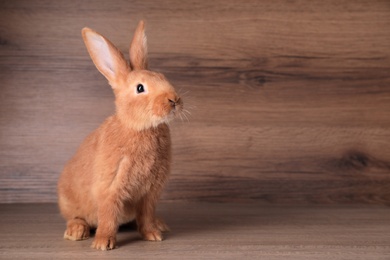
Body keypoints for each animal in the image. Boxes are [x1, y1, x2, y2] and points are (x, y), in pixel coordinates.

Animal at [57, 20, 183, 250]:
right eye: (140, 88)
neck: (139, 127)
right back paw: (76, 231)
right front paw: (103, 244)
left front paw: (153, 235)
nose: (174, 100)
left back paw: (160, 225)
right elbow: (108, 215)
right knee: (75, 217)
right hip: (69, 201)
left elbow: (146, 215)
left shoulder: (150, 194)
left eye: (163, 77)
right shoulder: (110, 188)